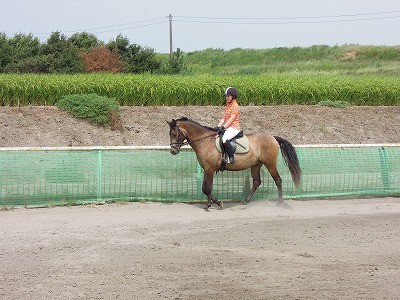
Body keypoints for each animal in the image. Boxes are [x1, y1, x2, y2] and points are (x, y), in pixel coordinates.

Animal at [167, 116, 302, 210]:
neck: (205, 141)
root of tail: (273, 137)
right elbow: (204, 188)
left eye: (174, 133)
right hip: (256, 165)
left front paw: (213, 204)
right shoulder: (206, 168)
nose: (173, 151)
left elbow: (207, 188)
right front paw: (213, 203)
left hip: (270, 164)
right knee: (256, 182)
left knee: (278, 180)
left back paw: (279, 202)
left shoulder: (210, 169)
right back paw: (245, 201)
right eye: (170, 134)